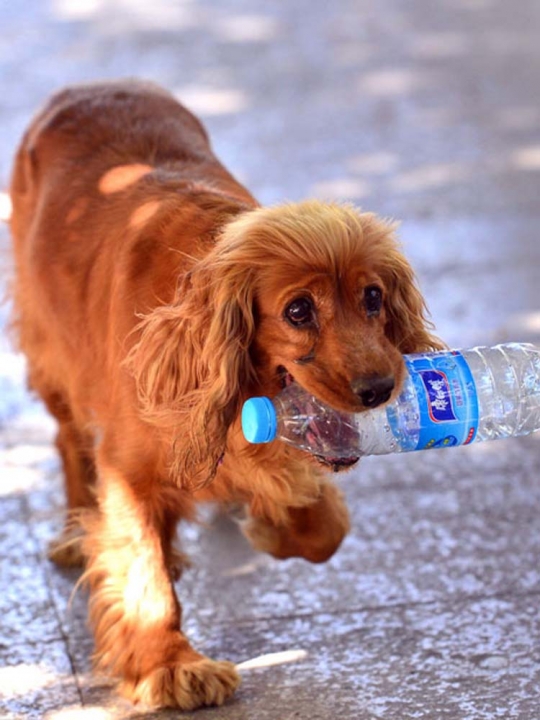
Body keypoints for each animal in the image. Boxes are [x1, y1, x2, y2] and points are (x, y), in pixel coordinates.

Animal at [7, 81, 442, 712]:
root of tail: (84, 88)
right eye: (298, 310)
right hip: (52, 351)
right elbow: (143, 573)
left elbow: (324, 529)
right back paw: (75, 531)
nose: (381, 389)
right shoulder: (128, 469)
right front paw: (170, 666)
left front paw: (272, 525)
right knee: (69, 442)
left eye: (373, 296)